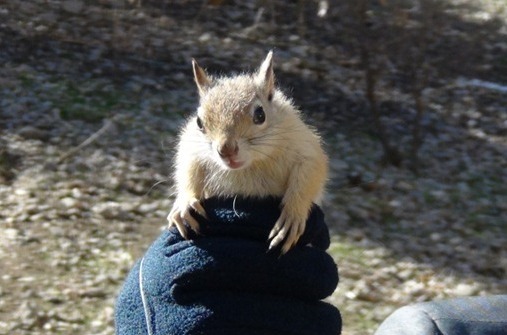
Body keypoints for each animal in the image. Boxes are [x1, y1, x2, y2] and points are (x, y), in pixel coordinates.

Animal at [169, 51, 330, 253]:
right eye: (199, 122)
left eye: (260, 114)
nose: (227, 150)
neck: (251, 165)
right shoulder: (191, 149)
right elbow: (187, 170)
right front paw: (184, 203)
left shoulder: (305, 148)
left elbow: (309, 176)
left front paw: (293, 215)